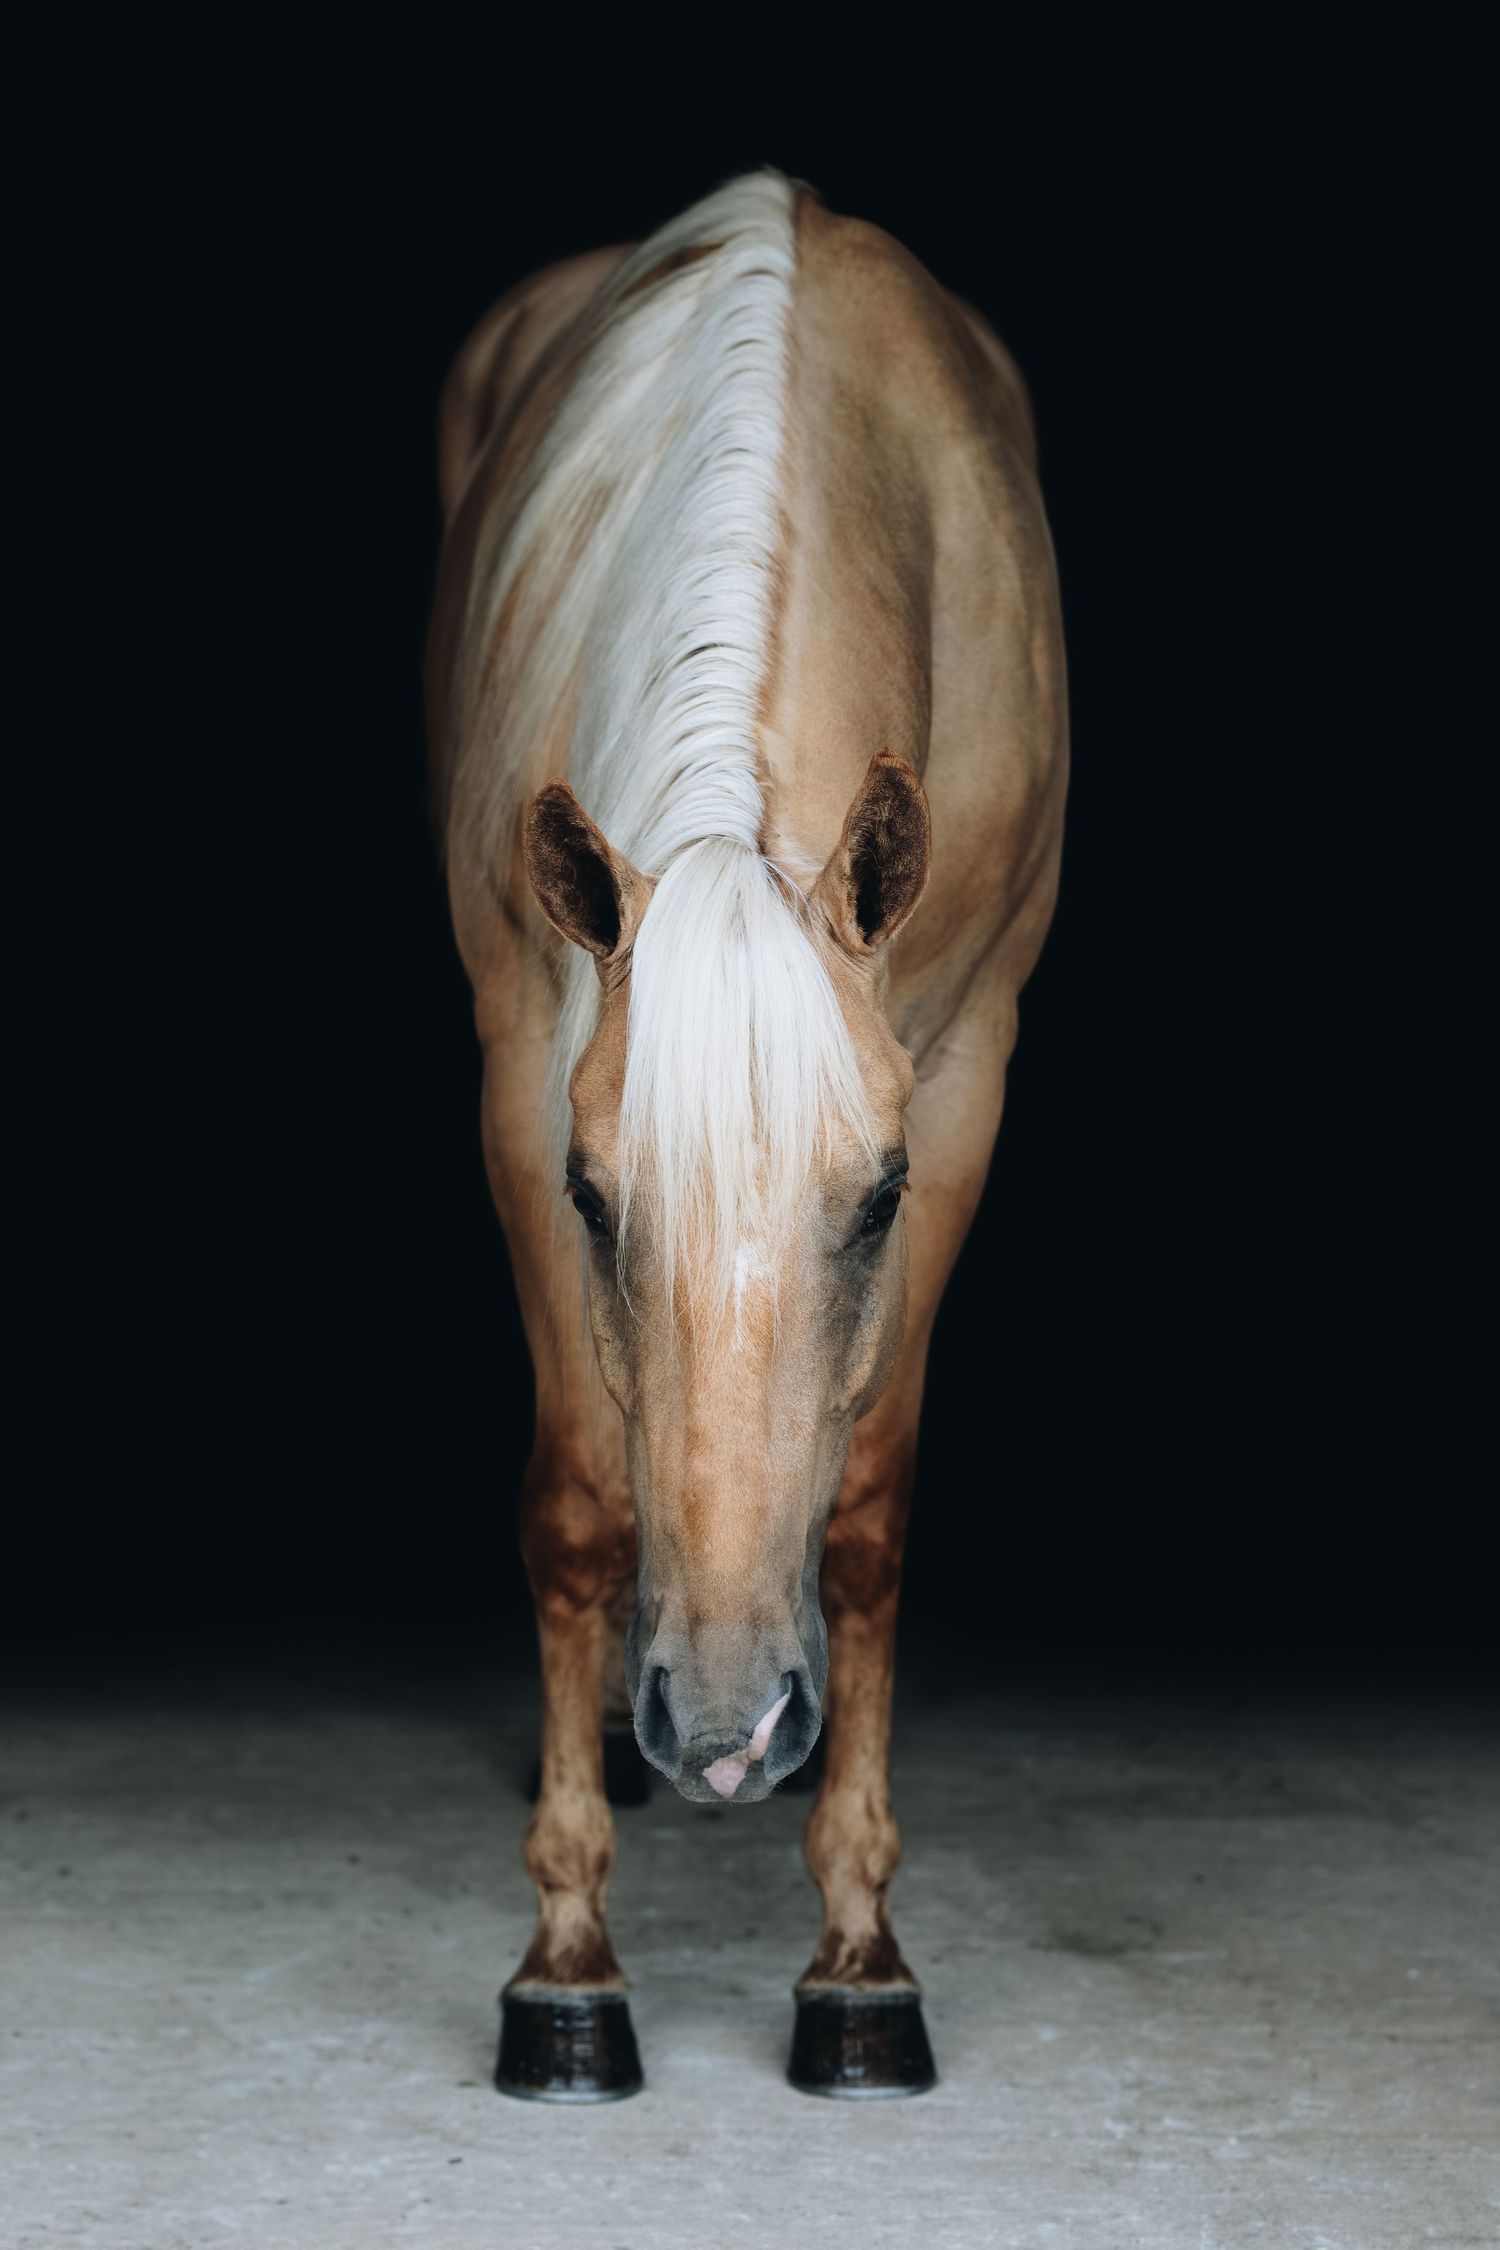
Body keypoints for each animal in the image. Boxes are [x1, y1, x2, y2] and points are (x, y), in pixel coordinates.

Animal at [426, 170, 1067, 2101]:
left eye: (878, 1202)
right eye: (591, 1197)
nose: (723, 1729)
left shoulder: (964, 1074)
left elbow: (862, 1523)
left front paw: (859, 1967)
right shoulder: (523, 1068)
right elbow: (578, 1508)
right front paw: (566, 1972)